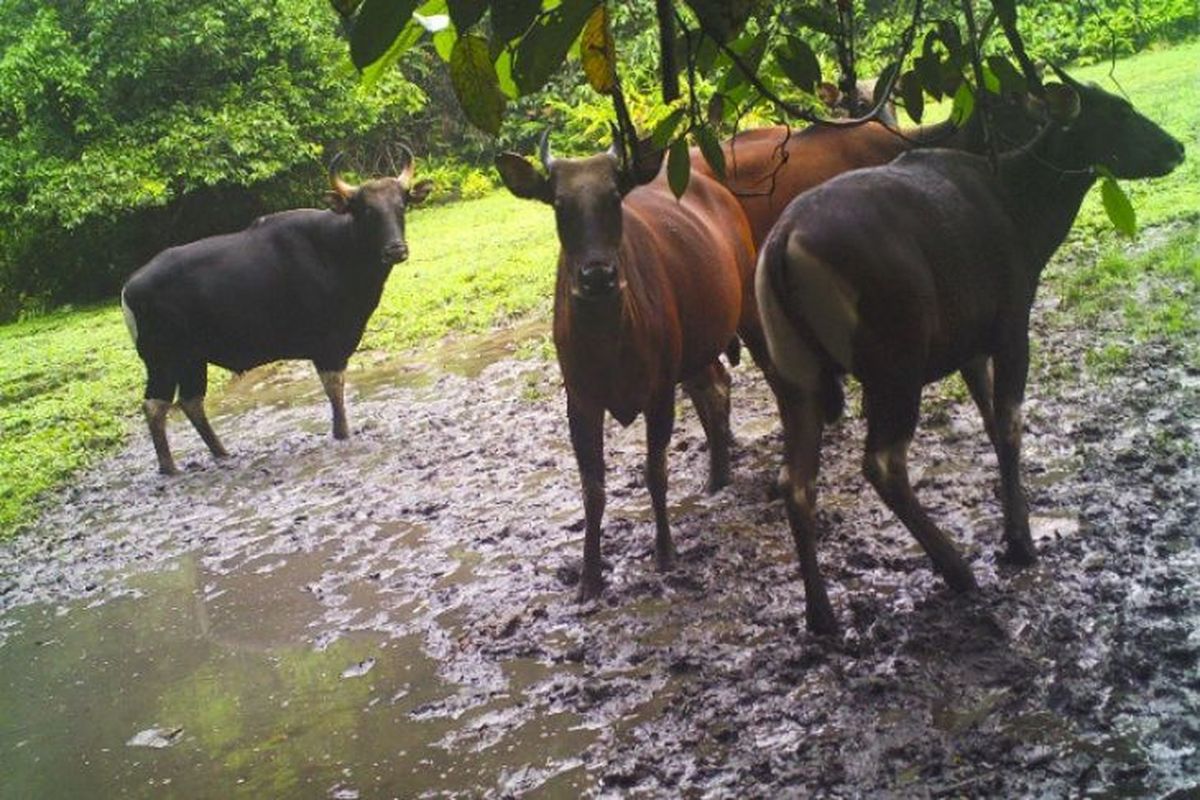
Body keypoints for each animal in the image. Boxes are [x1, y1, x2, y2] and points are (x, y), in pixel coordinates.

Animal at [499, 133, 758, 599]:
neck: (610, 345)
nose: (597, 276)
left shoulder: (659, 392)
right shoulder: (580, 401)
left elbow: (655, 472)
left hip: (746, 305)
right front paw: (589, 576)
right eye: (559, 204)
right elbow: (592, 489)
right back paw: (718, 475)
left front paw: (665, 552)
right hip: (695, 350)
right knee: (716, 388)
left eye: (614, 196)